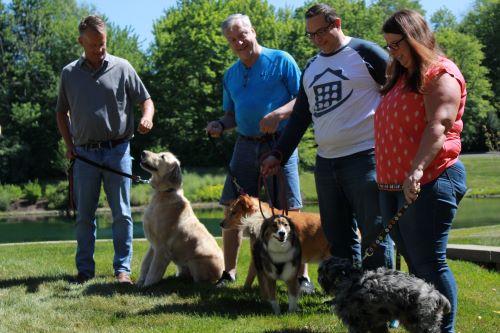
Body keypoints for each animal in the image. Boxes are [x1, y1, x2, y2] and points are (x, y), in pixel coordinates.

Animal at [318, 255, 452, 330]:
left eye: (320, 271)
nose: (319, 278)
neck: (348, 278)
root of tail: (436, 294)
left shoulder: (355, 323)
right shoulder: (377, 323)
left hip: (422, 323)